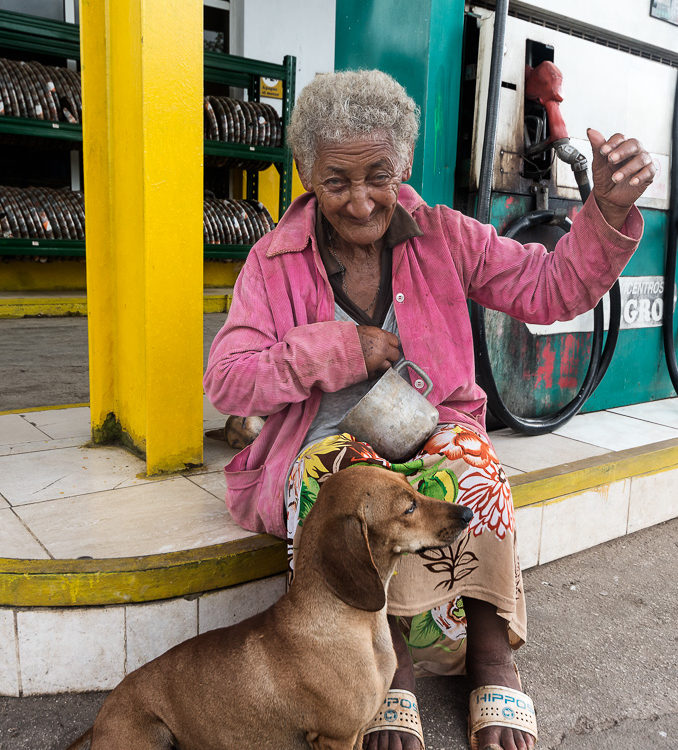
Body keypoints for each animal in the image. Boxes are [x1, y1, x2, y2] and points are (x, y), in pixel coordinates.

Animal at [69, 464, 472, 750]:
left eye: (414, 487)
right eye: (409, 507)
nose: (467, 514)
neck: (351, 621)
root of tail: (100, 720)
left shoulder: (356, 732)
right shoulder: (336, 736)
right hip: (153, 735)